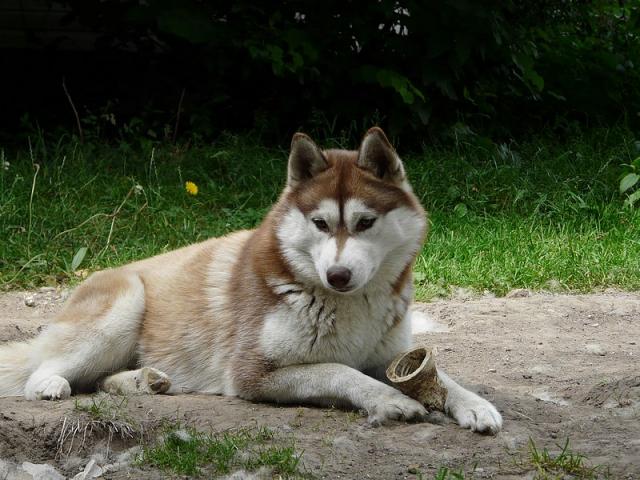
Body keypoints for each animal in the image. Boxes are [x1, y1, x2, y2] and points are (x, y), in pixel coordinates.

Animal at [0, 129, 500, 434]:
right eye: (320, 223)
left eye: (365, 222)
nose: (337, 275)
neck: (348, 305)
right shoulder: (252, 373)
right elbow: (340, 370)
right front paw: (388, 400)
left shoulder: (394, 355)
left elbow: (444, 377)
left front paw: (475, 405)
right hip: (125, 307)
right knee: (43, 374)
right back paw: (52, 385)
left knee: (102, 381)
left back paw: (147, 380)